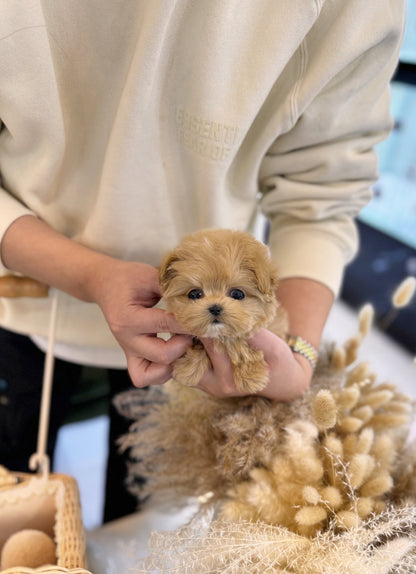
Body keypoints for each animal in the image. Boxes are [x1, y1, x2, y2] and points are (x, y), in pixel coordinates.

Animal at [158, 230, 288, 396]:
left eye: (237, 294)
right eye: (194, 294)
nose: (215, 307)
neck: (219, 336)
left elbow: (241, 344)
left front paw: (250, 376)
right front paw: (189, 369)